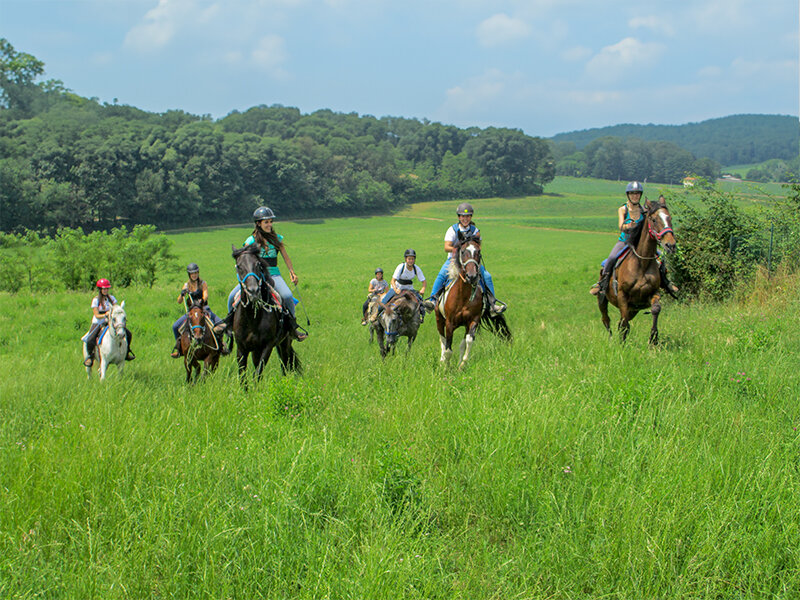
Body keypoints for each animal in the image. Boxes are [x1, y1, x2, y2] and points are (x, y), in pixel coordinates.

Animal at [231, 243, 300, 386]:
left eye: (258, 264)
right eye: (239, 266)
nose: (253, 291)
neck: (252, 318)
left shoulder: (267, 346)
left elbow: (257, 373)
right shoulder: (241, 348)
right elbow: (243, 376)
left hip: (284, 343)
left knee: (285, 364)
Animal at [434, 233, 510, 366]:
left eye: (478, 251)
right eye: (463, 251)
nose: (472, 276)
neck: (463, 296)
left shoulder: (473, 320)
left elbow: (467, 342)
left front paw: (462, 364)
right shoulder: (449, 323)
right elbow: (448, 348)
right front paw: (446, 367)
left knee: (461, 343)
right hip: (439, 319)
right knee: (442, 339)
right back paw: (442, 360)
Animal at [600, 196, 676, 344]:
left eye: (669, 218)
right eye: (654, 220)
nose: (671, 245)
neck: (642, 263)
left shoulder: (653, 293)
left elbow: (656, 309)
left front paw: (653, 338)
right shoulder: (623, 297)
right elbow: (624, 324)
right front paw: (622, 344)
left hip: (633, 310)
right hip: (602, 300)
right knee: (606, 319)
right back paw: (611, 340)